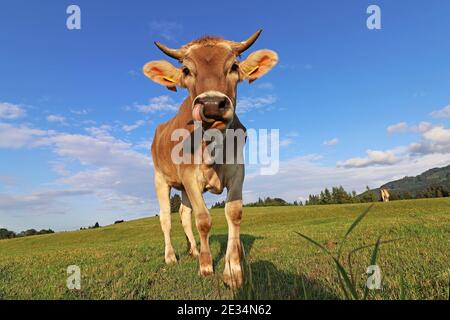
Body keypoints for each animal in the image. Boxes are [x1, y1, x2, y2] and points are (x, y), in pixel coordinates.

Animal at [143, 29, 278, 288]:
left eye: (234, 66)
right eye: (186, 70)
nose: (213, 104)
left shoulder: (237, 172)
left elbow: (233, 214)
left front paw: (233, 270)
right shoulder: (189, 176)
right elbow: (203, 219)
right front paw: (206, 266)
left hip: (182, 188)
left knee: (184, 215)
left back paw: (193, 250)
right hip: (159, 179)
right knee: (166, 218)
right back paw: (171, 256)